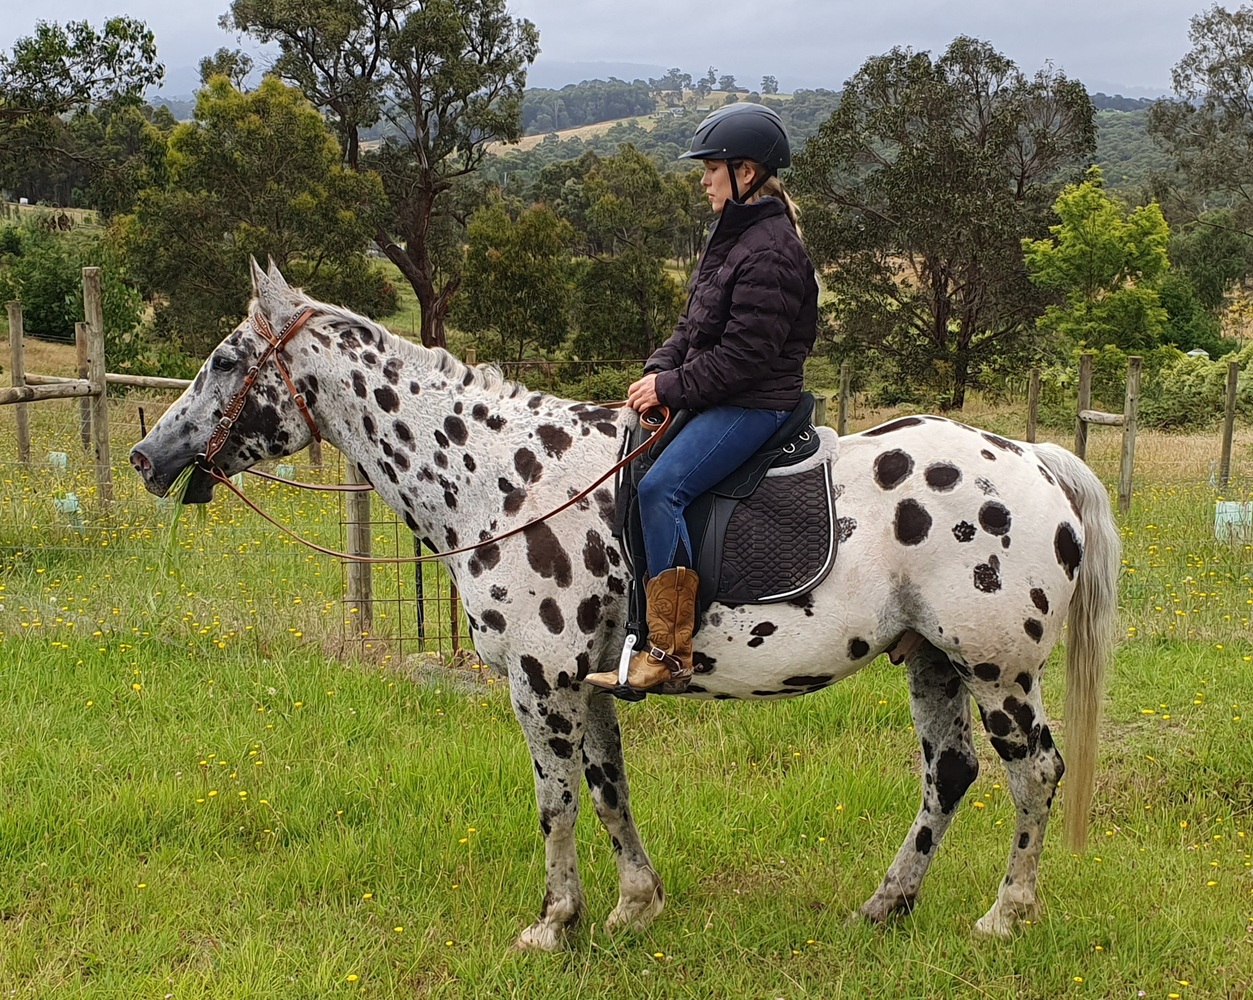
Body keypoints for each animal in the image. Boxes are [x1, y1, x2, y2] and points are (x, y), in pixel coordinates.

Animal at [130, 261, 1120, 950]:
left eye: (225, 360)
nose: (146, 457)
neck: (503, 479)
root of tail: (1034, 460)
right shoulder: (588, 683)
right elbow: (609, 794)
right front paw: (632, 909)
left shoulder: (540, 683)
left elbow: (556, 802)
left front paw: (551, 923)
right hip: (933, 662)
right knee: (948, 775)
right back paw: (884, 905)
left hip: (998, 669)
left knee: (1034, 774)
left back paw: (1003, 916)